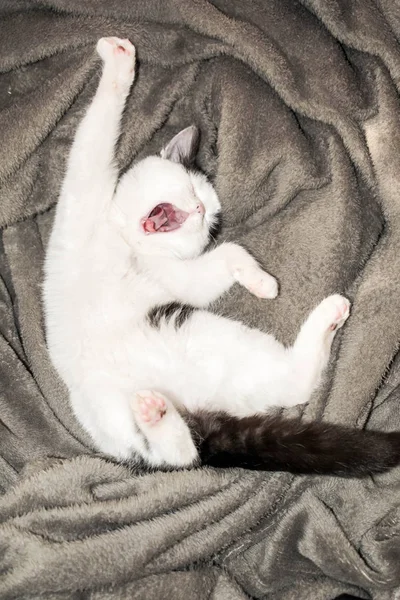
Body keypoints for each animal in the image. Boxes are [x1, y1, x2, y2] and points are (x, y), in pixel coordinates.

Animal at [43, 38, 400, 478]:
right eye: (190, 188)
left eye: (209, 219)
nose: (198, 210)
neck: (132, 245)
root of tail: (195, 409)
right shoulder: (84, 200)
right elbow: (94, 137)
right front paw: (119, 64)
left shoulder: (178, 280)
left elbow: (227, 254)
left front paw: (262, 282)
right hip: (125, 406)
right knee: (179, 455)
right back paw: (157, 414)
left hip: (203, 337)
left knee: (202, 445)